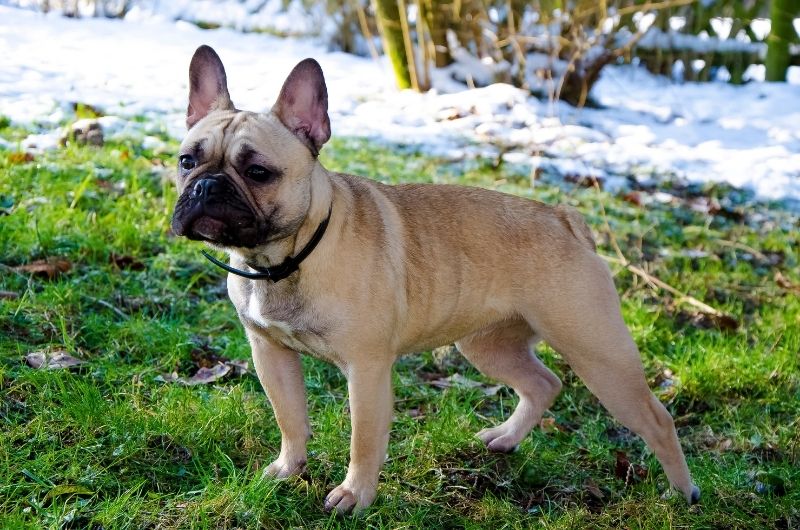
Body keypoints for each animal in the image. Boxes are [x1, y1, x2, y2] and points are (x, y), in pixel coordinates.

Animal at [172, 45, 696, 512]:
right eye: (186, 161)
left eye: (259, 172)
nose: (206, 185)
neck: (283, 260)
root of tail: (565, 219)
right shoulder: (271, 353)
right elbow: (290, 418)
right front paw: (288, 469)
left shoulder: (366, 370)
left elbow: (364, 439)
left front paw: (355, 496)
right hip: (489, 344)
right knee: (544, 383)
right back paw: (505, 438)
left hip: (598, 353)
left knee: (656, 419)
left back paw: (681, 493)